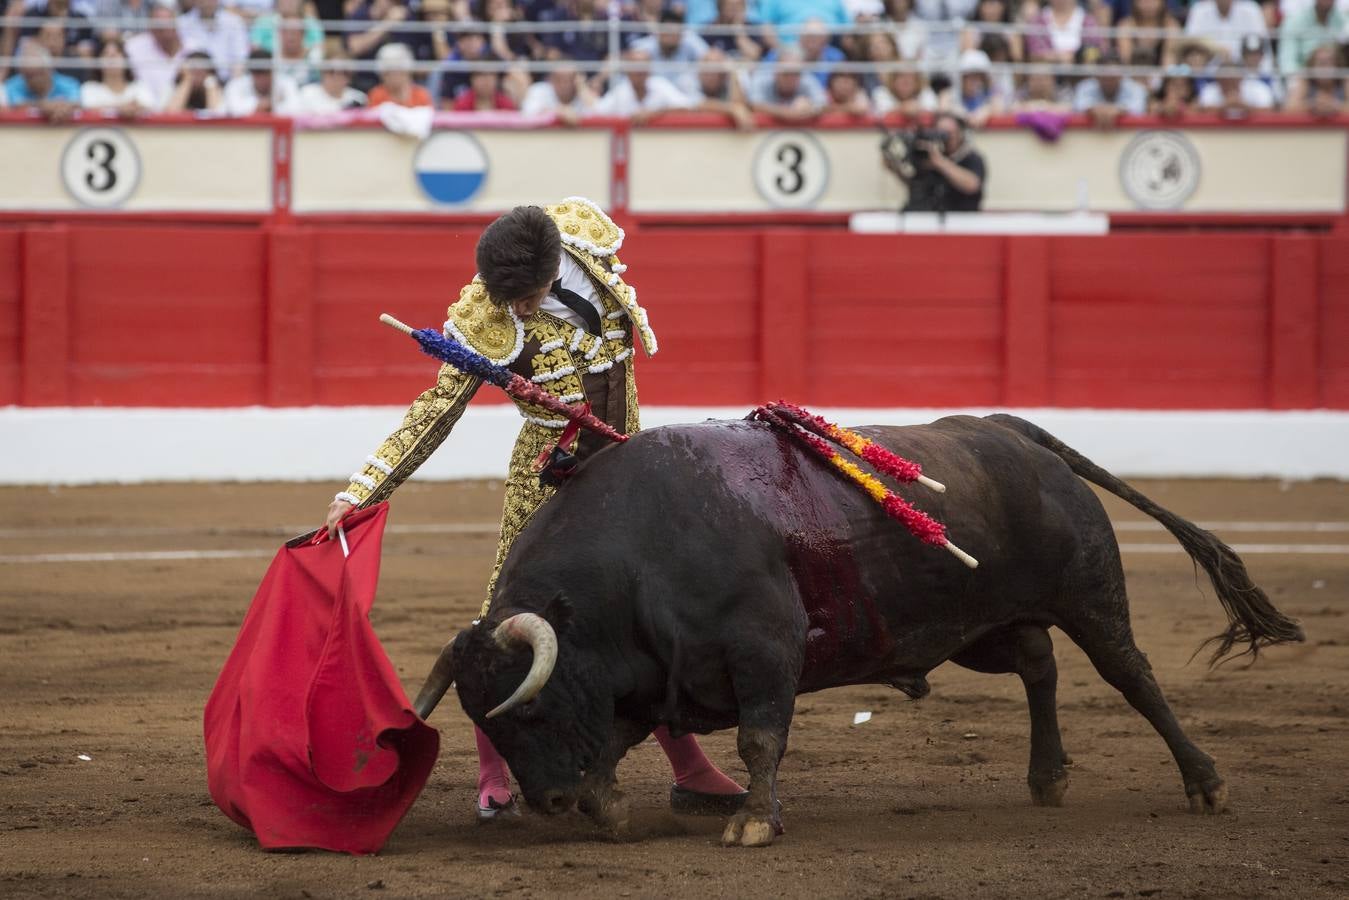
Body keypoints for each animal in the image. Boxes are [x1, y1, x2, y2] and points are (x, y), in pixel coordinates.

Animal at [412, 412, 1305, 847]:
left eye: (529, 708)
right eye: (482, 719)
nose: (550, 803)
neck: (639, 552)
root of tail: (1006, 429)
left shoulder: (762, 653)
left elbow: (760, 739)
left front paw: (751, 824)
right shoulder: (650, 676)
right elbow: (618, 740)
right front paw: (608, 809)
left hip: (1088, 592)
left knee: (1130, 675)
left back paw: (1204, 784)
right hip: (978, 627)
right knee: (1037, 665)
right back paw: (1046, 777)